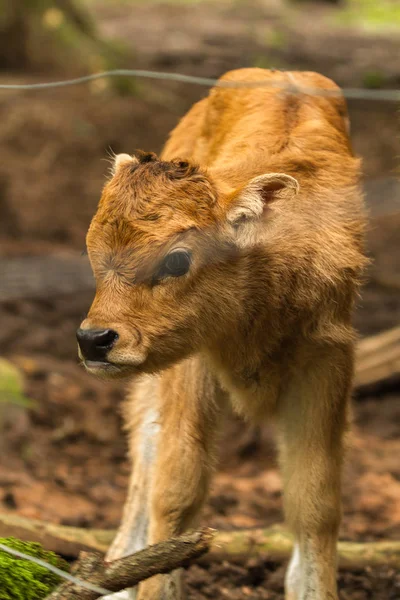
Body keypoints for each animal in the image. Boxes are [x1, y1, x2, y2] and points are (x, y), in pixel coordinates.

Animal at [76, 68, 368, 600]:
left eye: (177, 259)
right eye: (95, 254)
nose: (95, 340)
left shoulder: (327, 361)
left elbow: (315, 501)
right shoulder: (191, 364)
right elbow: (177, 488)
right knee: (147, 445)